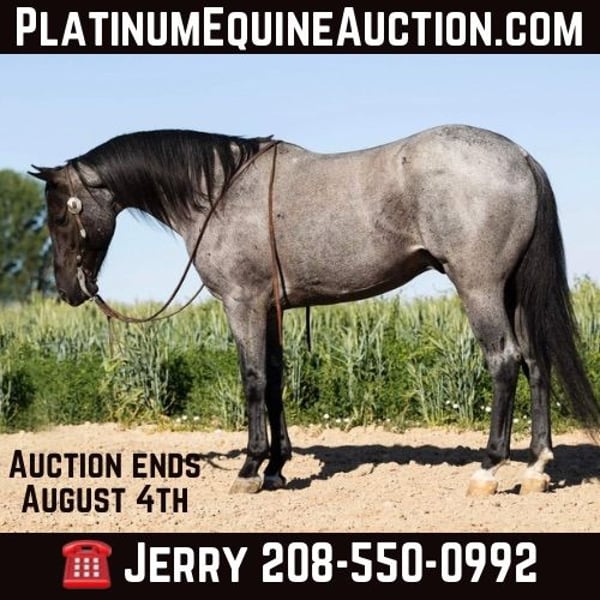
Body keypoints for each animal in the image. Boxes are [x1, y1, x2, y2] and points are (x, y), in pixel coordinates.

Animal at [30, 124, 600, 496]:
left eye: (58, 215)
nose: (68, 290)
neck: (219, 192)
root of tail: (519, 156)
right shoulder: (271, 308)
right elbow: (277, 379)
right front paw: (277, 468)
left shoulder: (242, 303)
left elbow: (253, 379)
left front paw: (249, 470)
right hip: (512, 290)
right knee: (536, 363)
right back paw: (536, 468)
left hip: (479, 287)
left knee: (504, 363)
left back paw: (488, 469)